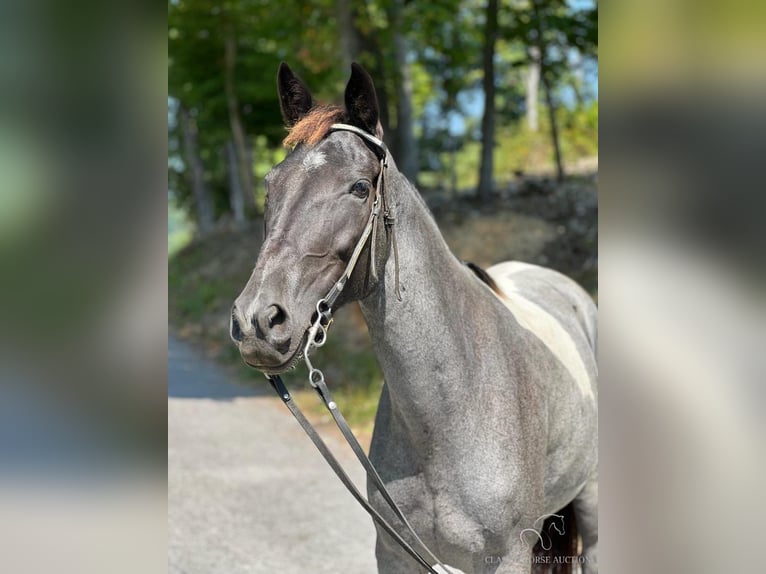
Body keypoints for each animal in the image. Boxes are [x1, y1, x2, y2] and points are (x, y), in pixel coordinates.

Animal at [230, 63, 600, 574]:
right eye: (270, 185)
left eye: (360, 187)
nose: (258, 321)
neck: (448, 414)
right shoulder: (396, 554)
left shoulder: (508, 556)